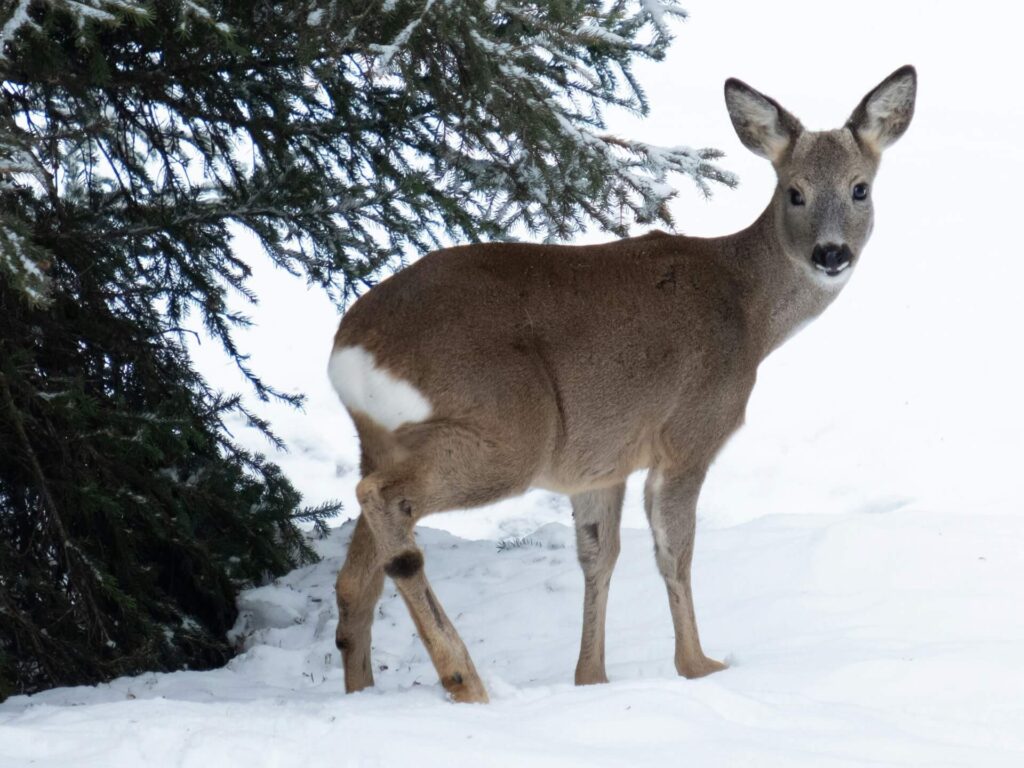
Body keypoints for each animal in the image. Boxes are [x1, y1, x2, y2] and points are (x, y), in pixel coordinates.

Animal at [329, 66, 921, 704]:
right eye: (794, 191)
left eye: (860, 188)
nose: (831, 253)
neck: (749, 314)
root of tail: (350, 350)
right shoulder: (688, 434)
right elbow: (673, 552)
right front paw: (698, 664)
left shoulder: (600, 460)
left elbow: (599, 556)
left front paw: (591, 677)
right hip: (510, 429)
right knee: (382, 502)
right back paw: (465, 679)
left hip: (385, 440)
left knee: (354, 578)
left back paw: (363, 689)